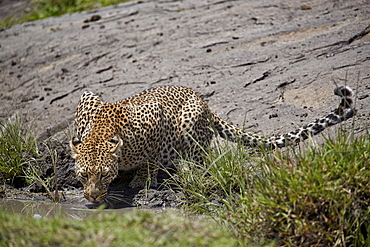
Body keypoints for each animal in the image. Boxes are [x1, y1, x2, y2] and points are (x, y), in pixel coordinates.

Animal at [70, 85, 356, 203]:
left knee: (201, 160)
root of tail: (205, 103)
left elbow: (150, 158)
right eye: (84, 175)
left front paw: (141, 179)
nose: (92, 196)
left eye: (104, 175)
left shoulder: (155, 115)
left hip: (189, 122)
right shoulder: (87, 98)